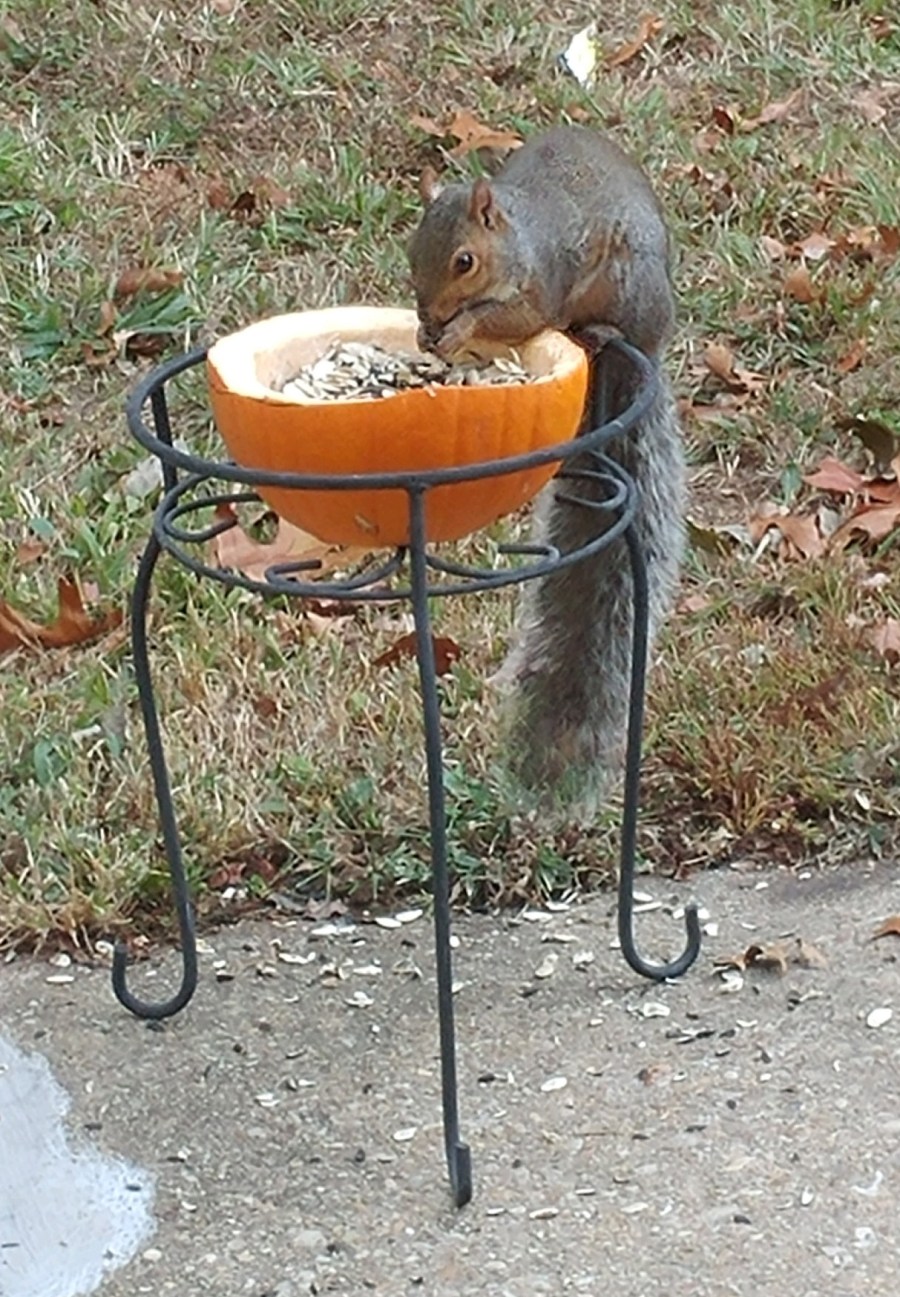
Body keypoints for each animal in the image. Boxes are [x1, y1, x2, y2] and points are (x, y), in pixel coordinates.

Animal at [408, 124, 684, 808]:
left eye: (464, 261)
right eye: (411, 250)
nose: (428, 317)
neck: (516, 236)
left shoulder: (546, 279)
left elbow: (514, 319)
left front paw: (462, 330)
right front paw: (433, 337)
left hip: (627, 283)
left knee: (611, 326)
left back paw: (603, 332)